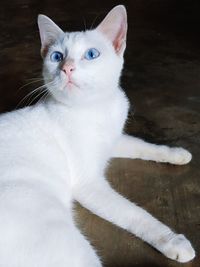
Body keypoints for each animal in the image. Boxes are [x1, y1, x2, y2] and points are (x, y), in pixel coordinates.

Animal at [0, 4, 195, 267]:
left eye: (91, 54)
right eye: (57, 57)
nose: (67, 68)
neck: (97, 109)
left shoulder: (113, 140)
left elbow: (143, 145)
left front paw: (177, 154)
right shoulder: (89, 184)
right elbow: (136, 214)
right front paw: (173, 241)